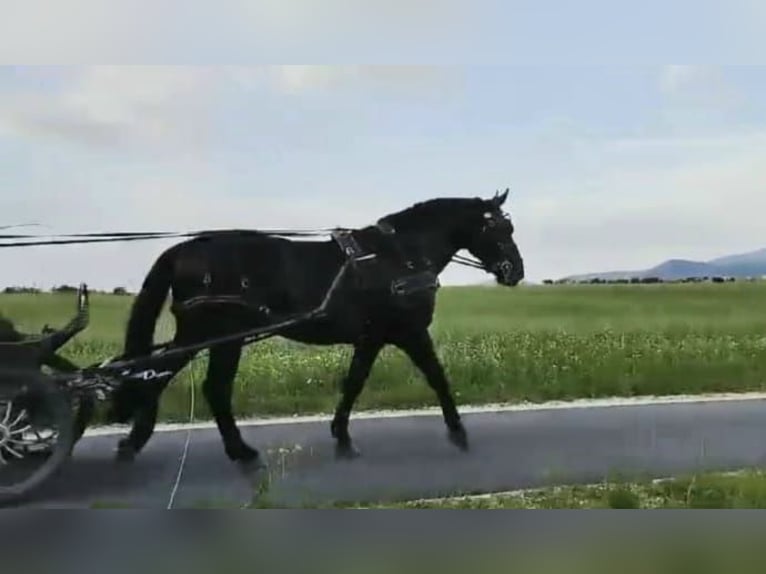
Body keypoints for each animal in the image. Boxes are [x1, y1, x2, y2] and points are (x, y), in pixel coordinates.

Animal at [108, 191, 524, 466]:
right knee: (185, 382)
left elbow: (354, 383)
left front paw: (341, 437)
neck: (399, 257)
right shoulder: (408, 332)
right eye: (500, 228)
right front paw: (458, 433)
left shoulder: (371, 338)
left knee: (193, 383)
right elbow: (436, 377)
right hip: (209, 335)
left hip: (216, 338)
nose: (515, 272)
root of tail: (185, 249)